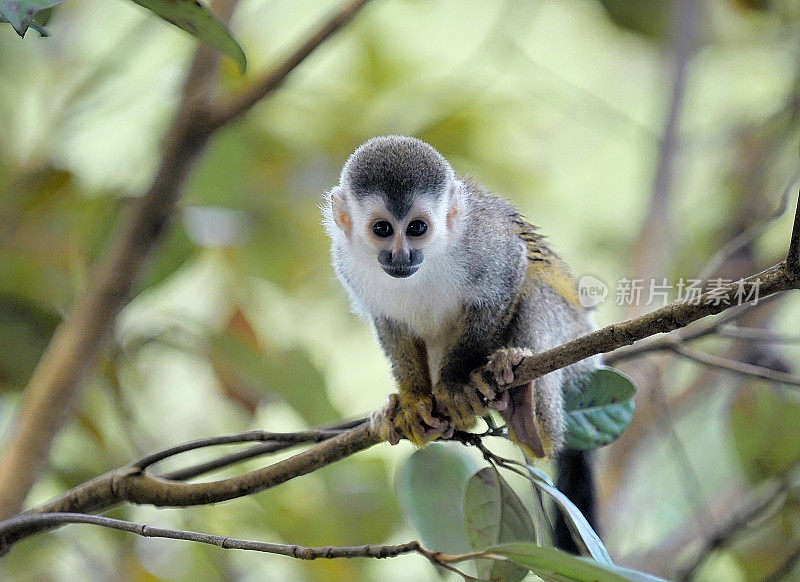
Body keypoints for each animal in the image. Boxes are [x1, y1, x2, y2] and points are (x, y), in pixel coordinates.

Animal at [322, 137, 596, 460]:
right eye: (382, 229)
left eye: (417, 228)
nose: (402, 256)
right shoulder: (345, 261)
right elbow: (389, 321)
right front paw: (413, 400)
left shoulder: (478, 241)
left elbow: (508, 272)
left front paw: (454, 382)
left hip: (570, 333)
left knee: (535, 296)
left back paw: (528, 418)